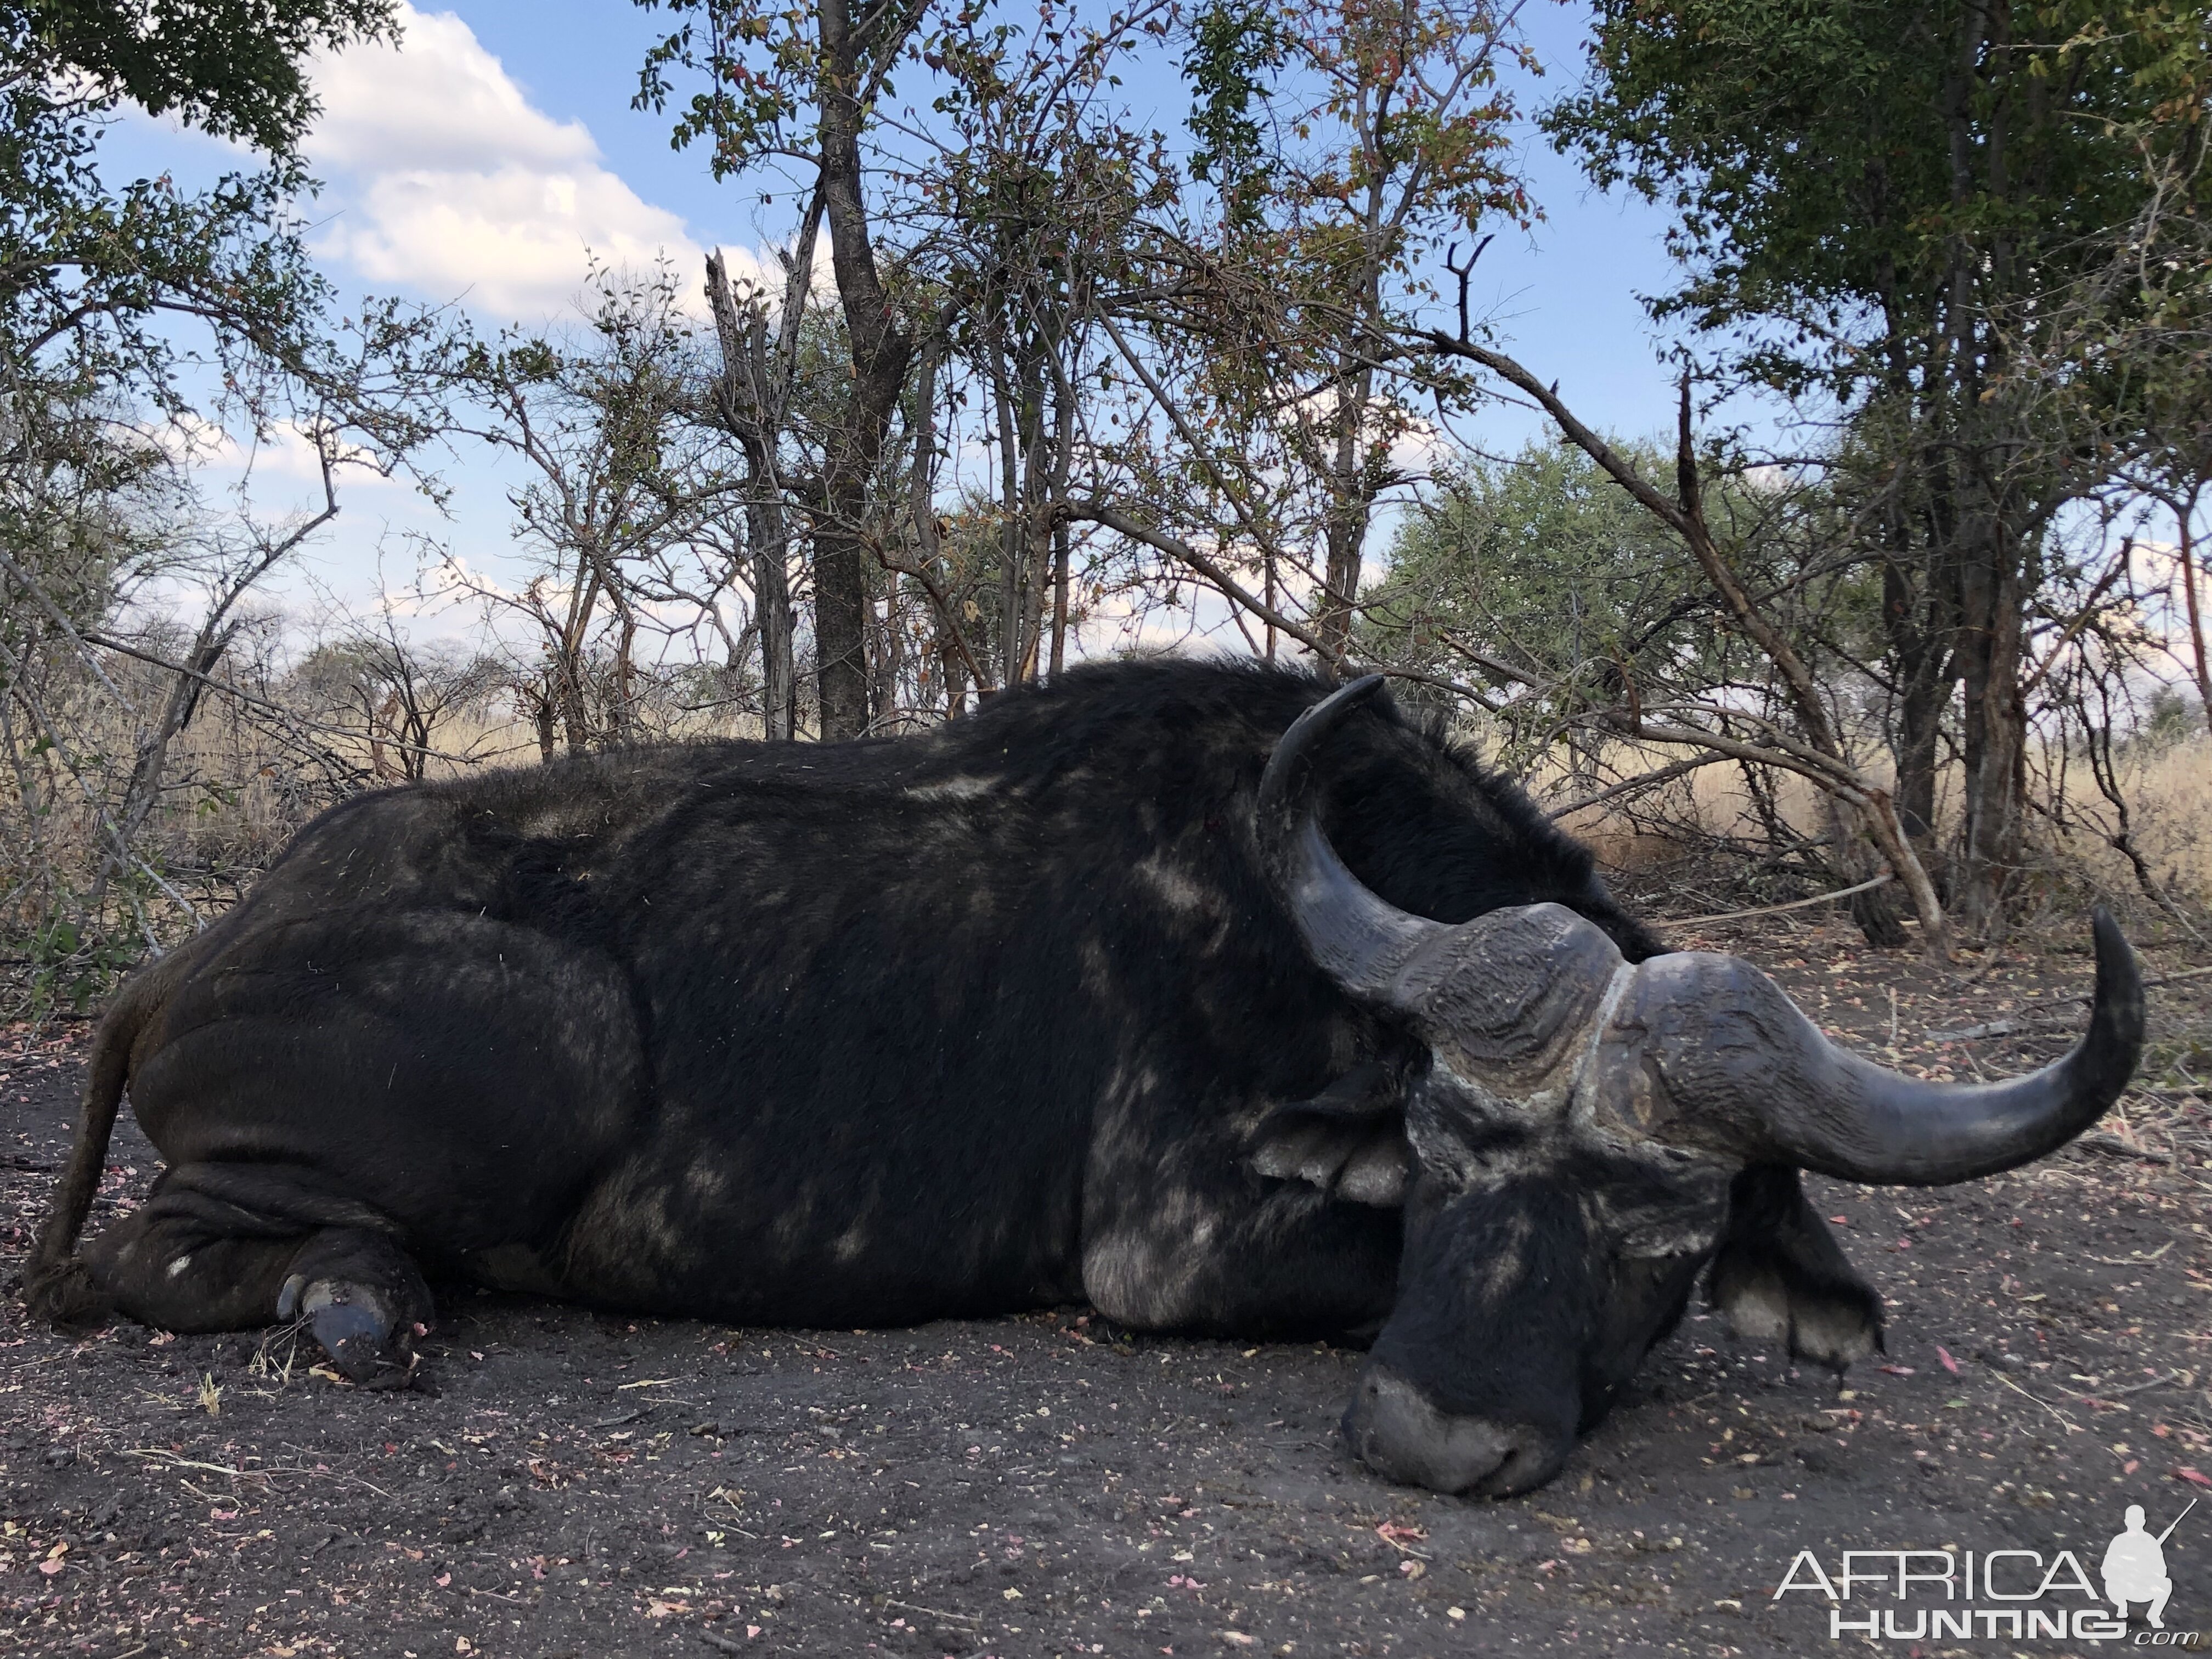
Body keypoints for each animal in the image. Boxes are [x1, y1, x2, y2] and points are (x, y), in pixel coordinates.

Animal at [21, 668, 2141, 1504]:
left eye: (1669, 1224)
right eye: (1446, 1153)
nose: (1431, 1441)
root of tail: (186, 954)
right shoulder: (1167, 1254)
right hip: (546, 1054)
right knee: (142, 1256)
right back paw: (355, 1302)